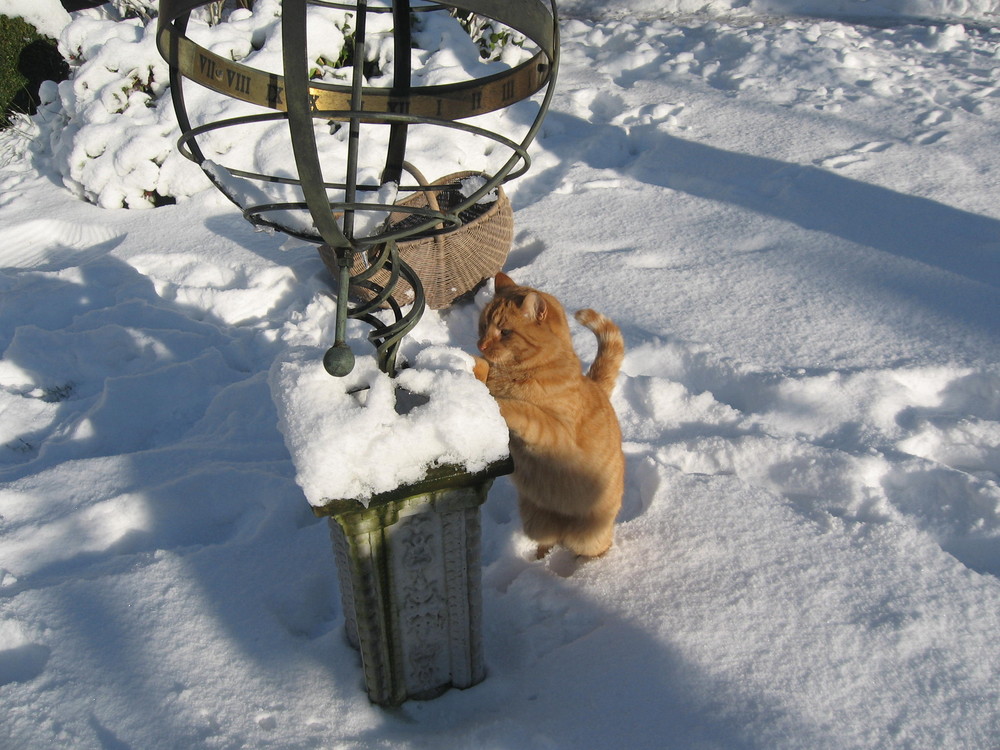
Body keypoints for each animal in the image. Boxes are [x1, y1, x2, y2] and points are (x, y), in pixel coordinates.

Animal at [470, 274, 624, 560]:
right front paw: (471, 364)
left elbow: (524, 411)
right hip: (536, 524)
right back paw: (542, 556)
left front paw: (499, 401)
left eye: (504, 332)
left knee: (596, 547)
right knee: (548, 540)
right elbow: (483, 369)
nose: (480, 344)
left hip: (587, 538)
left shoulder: (557, 433)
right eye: (483, 325)